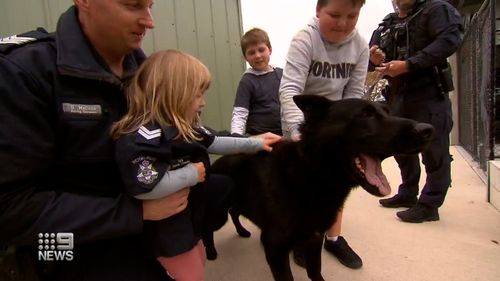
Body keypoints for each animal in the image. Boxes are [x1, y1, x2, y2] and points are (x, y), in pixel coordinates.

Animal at [205, 95, 432, 278]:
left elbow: (315, 271)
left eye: (387, 112)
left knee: (235, 212)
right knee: (210, 228)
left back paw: (242, 231)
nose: (428, 130)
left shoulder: (314, 238)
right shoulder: (275, 248)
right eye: (365, 114)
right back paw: (211, 252)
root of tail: (217, 161)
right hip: (218, 214)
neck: (312, 174)